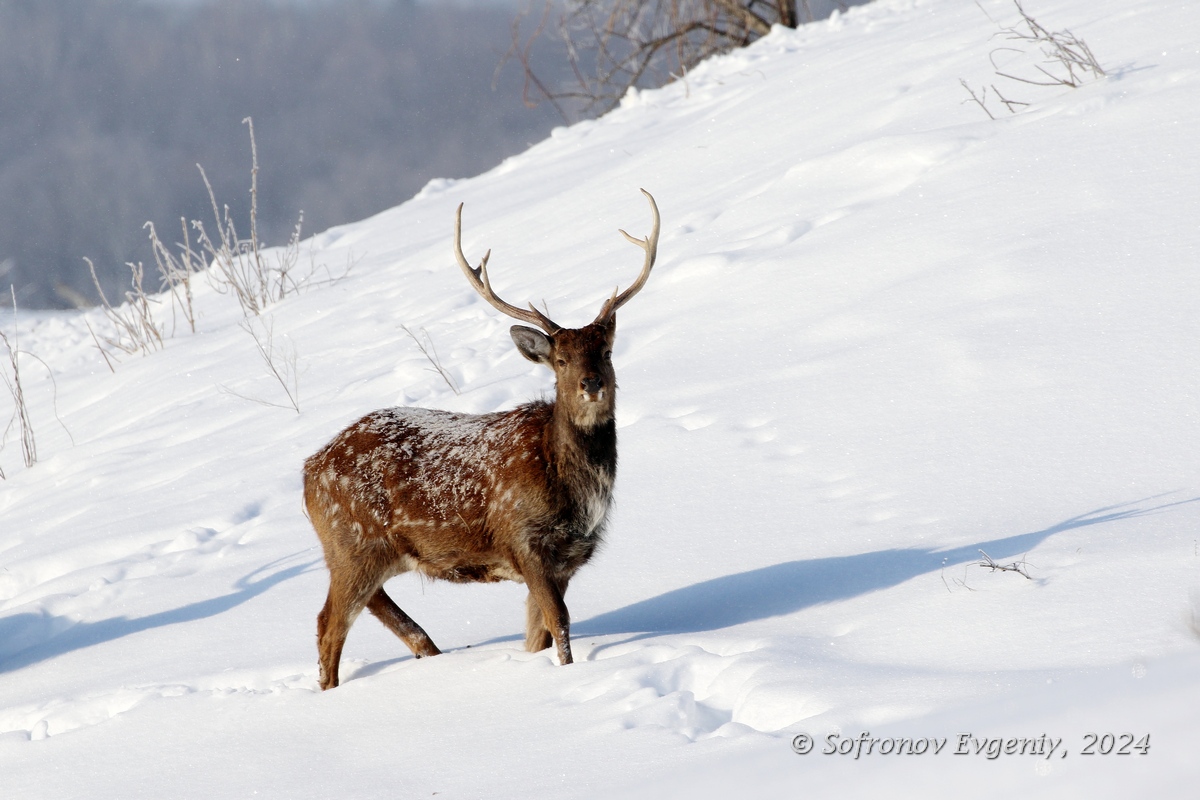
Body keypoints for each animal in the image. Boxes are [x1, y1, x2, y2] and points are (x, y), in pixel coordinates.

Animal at [300, 189, 657, 690]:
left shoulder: (565, 560)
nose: (592, 384)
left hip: (364, 550)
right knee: (329, 624)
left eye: (605, 351)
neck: (573, 492)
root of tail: (308, 471)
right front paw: (568, 676)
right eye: (561, 360)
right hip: (351, 542)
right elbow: (561, 625)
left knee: (382, 612)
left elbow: (538, 635)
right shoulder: (524, 540)